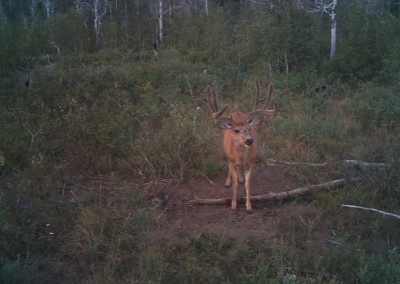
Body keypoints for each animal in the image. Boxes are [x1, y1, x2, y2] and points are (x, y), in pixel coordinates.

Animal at [205, 79, 276, 211]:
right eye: (236, 130)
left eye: (249, 129)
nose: (250, 140)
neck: (241, 157)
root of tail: (236, 111)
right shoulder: (233, 161)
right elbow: (235, 184)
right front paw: (233, 205)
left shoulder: (252, 162)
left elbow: (248, 184)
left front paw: (249, 206)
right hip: (227, 153)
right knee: (229, 166)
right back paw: (228, 181)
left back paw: (241, 177)